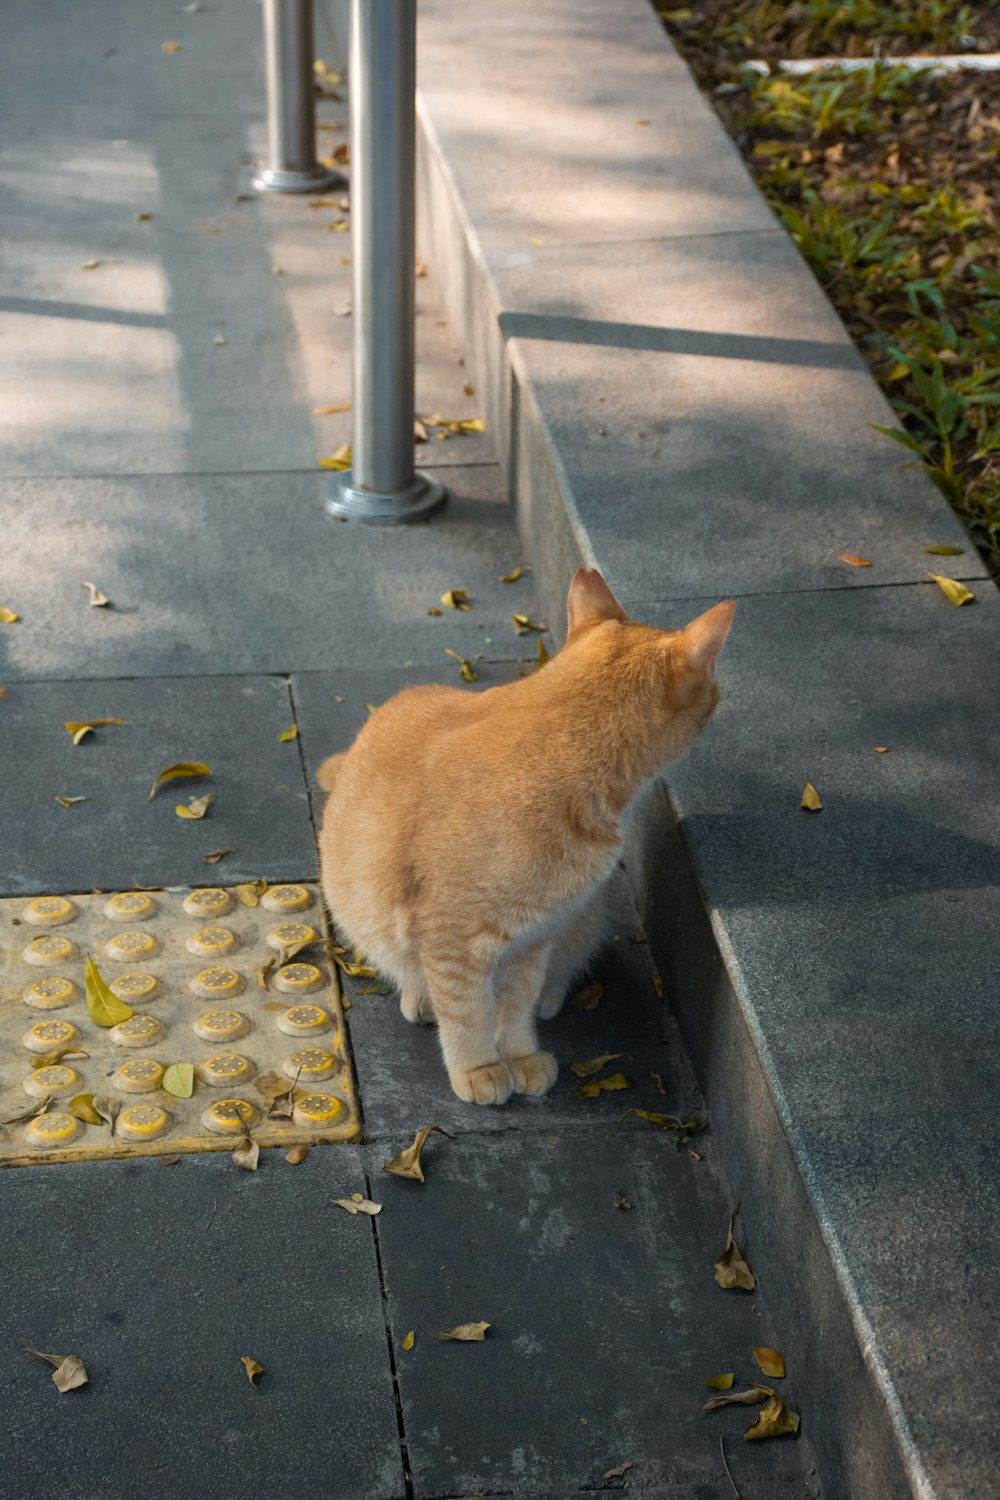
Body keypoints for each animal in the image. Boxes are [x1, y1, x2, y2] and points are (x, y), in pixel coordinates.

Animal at [320, 567, 734, 1110]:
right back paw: (421, 999)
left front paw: (519, 1054)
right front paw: (477, 1066)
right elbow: (467, 1010)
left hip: (584, 916)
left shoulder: (534, 937)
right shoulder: (451, 937)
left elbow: (515, 1005)